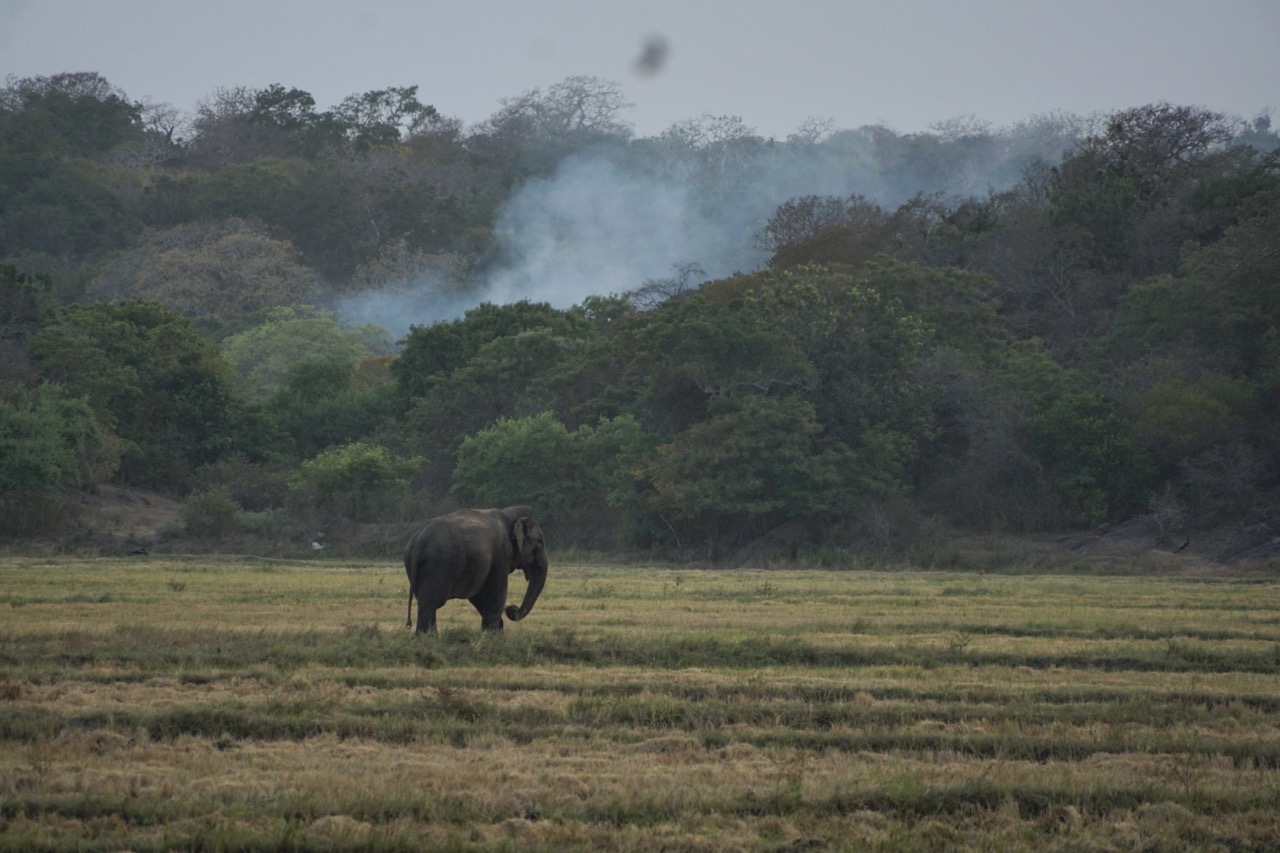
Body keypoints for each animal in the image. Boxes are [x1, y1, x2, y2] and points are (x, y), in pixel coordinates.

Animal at [401, 504, 547, 630]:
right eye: (539, 542)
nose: (512, 608)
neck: (507, 513)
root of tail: (419, 542)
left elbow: (478, 596)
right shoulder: (501, 555)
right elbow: (496, 593)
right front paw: (492, 637)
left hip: (414, 565)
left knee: (425, 601)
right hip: (438, 564)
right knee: (429, 603)